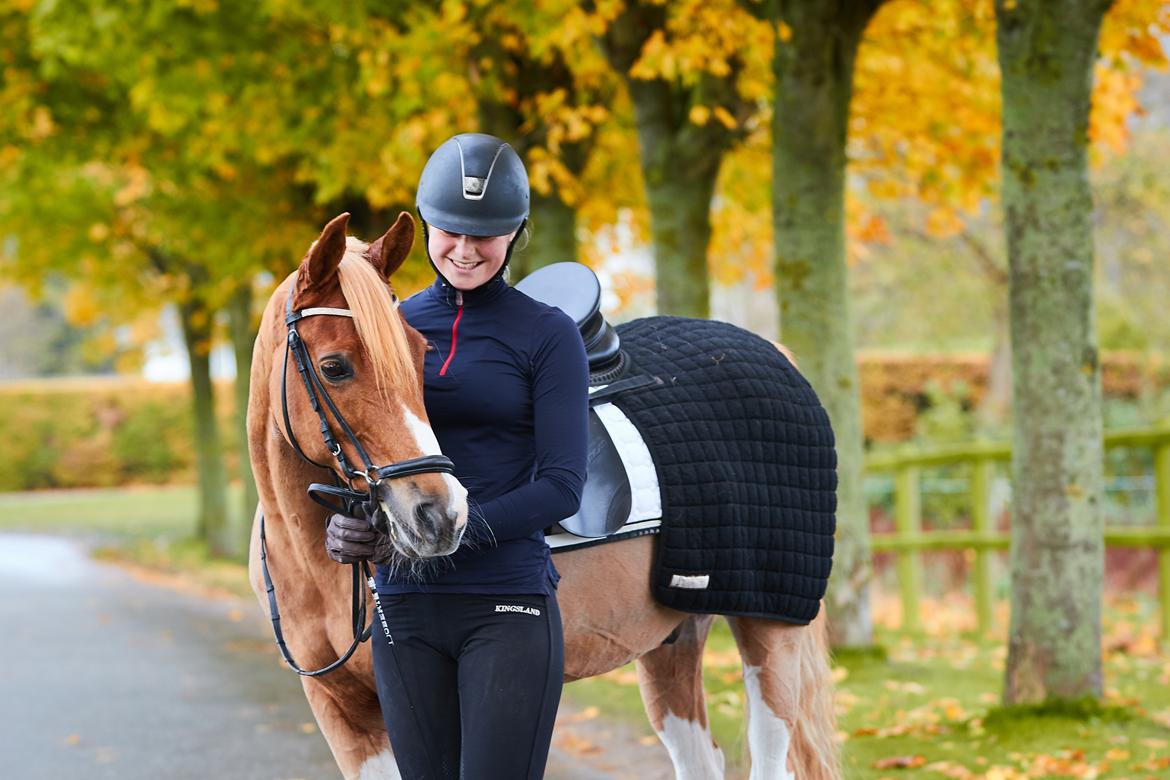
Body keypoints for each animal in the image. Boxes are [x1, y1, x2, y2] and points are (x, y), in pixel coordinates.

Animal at [247, 212, 839, 780]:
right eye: (334, 367)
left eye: (419, 356)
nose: (439, 515)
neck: (312, 564)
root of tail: (773, 354)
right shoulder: (343, 710)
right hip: (674, 636)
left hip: (771, 629)